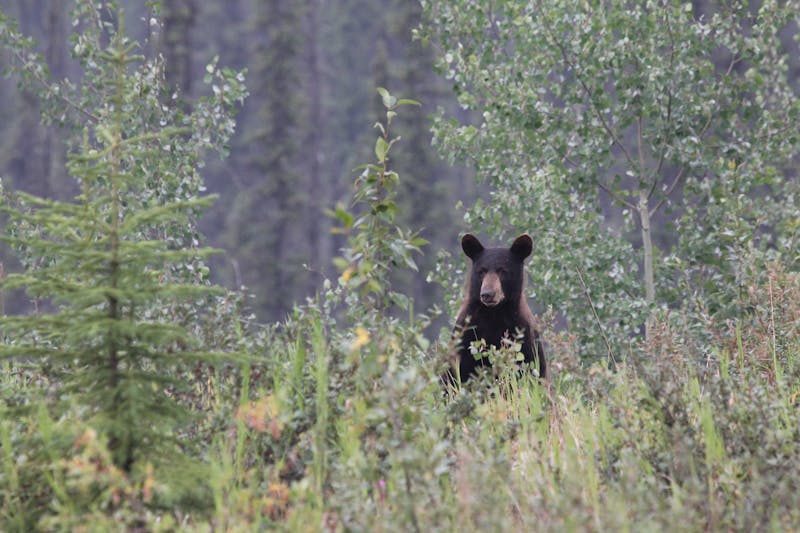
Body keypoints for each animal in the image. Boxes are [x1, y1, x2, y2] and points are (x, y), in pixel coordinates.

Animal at [443, 233, 547, 385]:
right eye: (481, 271)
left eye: (503, 271)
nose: (487, 294)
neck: (494, 314)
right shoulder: (466, 334)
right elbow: (458, 373)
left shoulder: (523, 334)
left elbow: (531, 368)